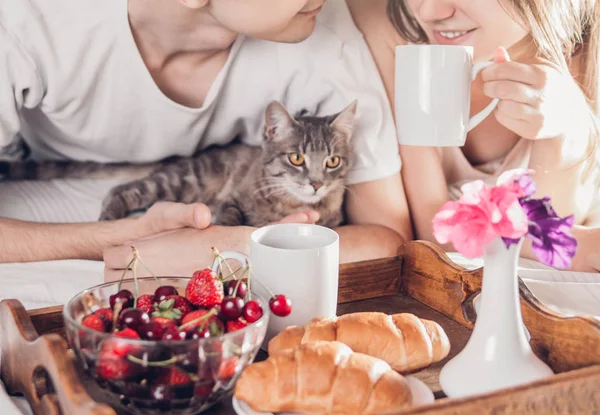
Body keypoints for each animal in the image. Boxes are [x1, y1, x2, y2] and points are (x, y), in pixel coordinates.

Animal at [0, 102, 356, 229]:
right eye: (296, 158)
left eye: (332, 161)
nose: (316, 183)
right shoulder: (231, 197)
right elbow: (231, 216)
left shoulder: (335, 218)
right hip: (184, 181)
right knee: (122, 189)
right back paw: (110, 216)